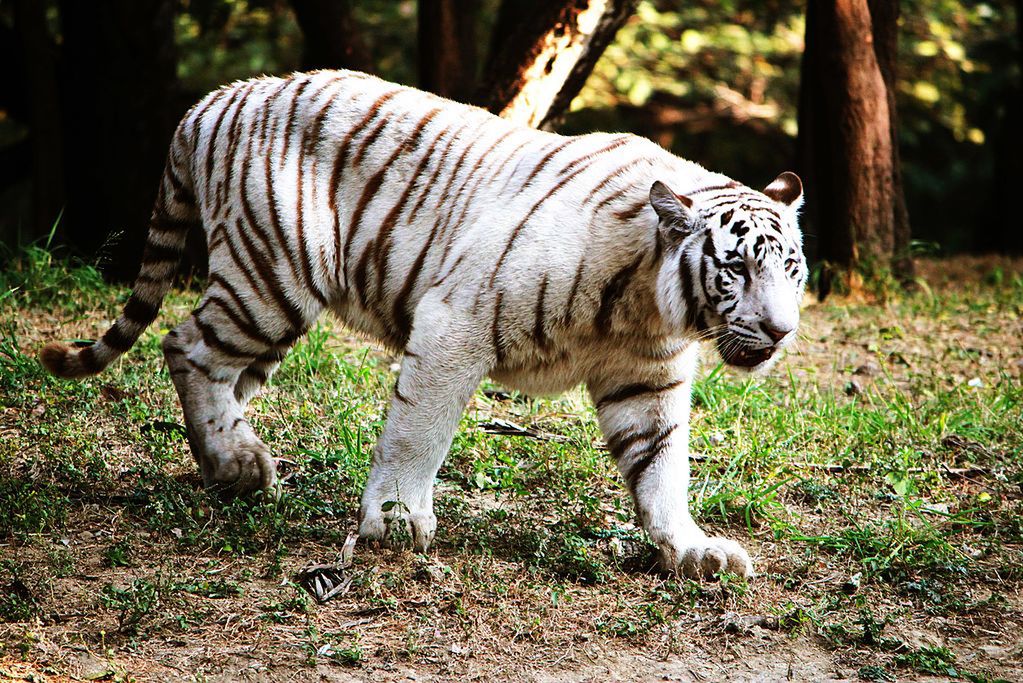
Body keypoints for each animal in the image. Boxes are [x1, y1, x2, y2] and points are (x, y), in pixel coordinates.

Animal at [41, 69, 806, 580]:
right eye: (736, 267)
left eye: (791, 271)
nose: (779, 332)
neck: (643, 300)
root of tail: (212, 100)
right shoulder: (455, 323)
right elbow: (419, 431)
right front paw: (394, 521)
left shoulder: (646, 380)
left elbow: (662, 469)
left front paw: (693, 549)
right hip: (272, 279)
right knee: (187, 344)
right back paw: (237, 465)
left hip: (270, 306)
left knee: (219, 371)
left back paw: (235, 466)